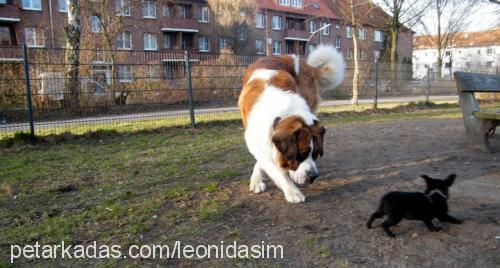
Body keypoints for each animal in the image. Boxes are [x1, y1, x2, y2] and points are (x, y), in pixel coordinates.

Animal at [237, 45, 344, 202]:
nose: (313, 176)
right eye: (301, 155)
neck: (284, 114)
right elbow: (274, 168)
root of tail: (306, 65)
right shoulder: (254, 140)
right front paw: (293, 191)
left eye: (316, 154)